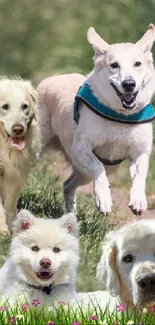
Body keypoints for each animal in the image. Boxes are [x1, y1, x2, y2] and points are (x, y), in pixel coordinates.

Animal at [0, 78, 40, 235]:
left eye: (24, 106)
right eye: (5, 106)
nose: (18, 129)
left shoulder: (16, 174)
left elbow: (9, 204)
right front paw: (2, 229)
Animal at [37, 24, 155, 215]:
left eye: (138, 64)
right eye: (114, 65)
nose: (129, 84)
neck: (119, 115)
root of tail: (48, 80)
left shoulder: (140, 152)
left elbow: (141, 173)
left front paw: (138, 200)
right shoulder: (80, 148)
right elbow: (98, 166)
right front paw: (104, 199)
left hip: (84, 172)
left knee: (68, 185)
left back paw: (71, 216)